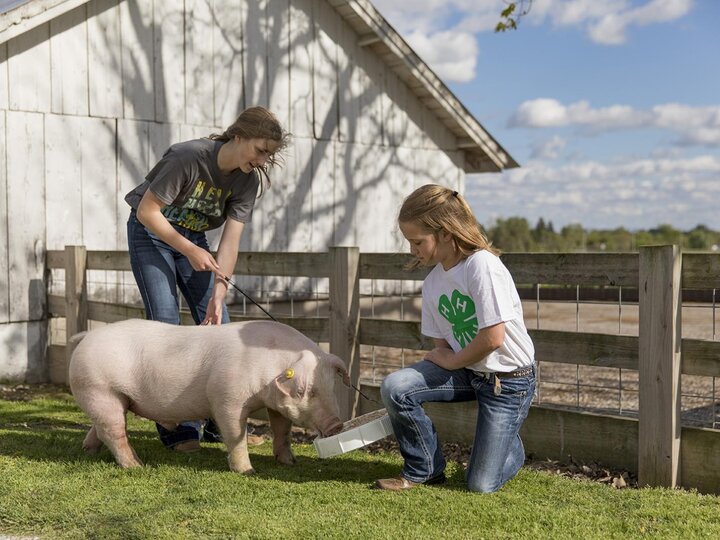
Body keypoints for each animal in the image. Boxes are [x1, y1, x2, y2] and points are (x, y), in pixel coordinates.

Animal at [69, 318, 350, 474]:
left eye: (331, 388)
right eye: (306, 391)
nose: (336, 425)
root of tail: (87, 336)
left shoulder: (274, 403)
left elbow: (282, 431)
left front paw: (289, 463)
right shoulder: (226, 397)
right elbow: (235, 434)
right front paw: (248, 471)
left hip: (111, 397)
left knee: (100, 427)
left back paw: (88, 451)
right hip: (99, 389)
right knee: (113, 432)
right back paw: (137, 465)